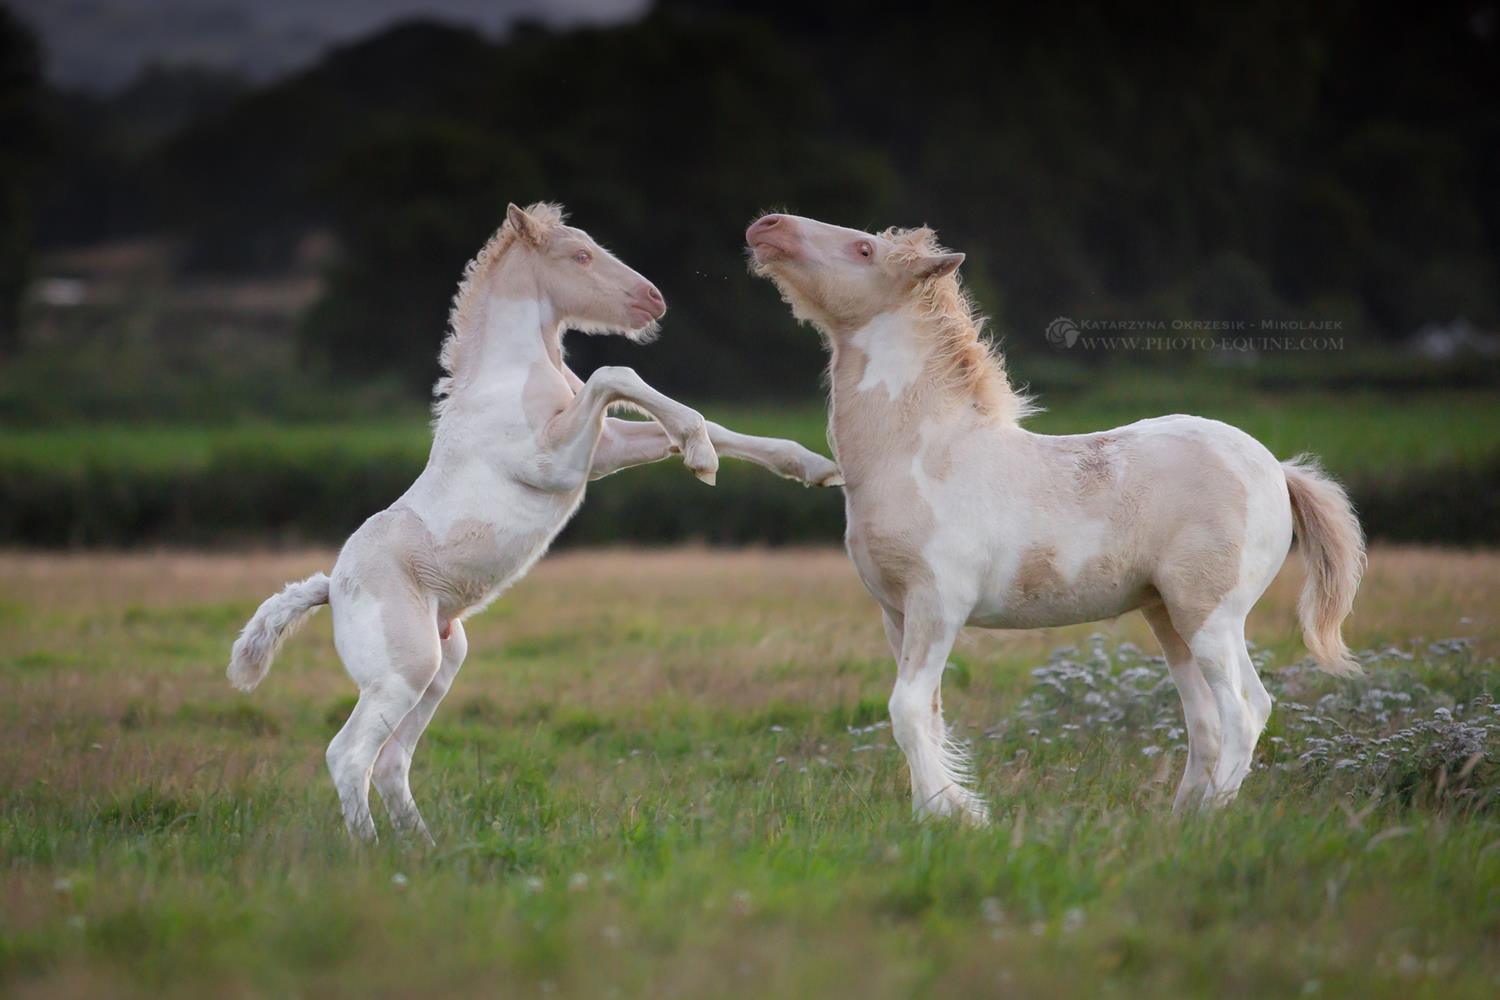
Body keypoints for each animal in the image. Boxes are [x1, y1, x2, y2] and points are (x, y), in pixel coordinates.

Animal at [231, 203, 846, 845]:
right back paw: (373, 855)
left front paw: (810, 465)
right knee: (349, 756)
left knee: (393, 760)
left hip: (441, 666)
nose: (653, 300)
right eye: (580, 255)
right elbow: (615, 372)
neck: (510, 376)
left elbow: (693, 420)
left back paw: (427, 852)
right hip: (401, 671)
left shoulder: (601, 451)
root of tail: (331, 585)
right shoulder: (552, 464)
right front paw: (703, 457)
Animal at [744, 211, 1368, 821]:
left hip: (1210, 614)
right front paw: (934, 815)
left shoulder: (938, 603)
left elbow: (907, 709)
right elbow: (927, 714)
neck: (922, 455)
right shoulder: (895, 612)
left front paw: (955, 816)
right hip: (1168, 617)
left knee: (1244, 710)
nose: (766, 226)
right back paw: (1180, 820)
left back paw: (1211, 818)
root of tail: (1278, 470)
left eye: (864, 250)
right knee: (1206, 721)